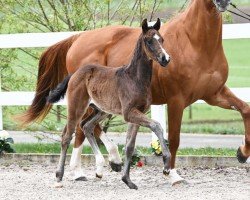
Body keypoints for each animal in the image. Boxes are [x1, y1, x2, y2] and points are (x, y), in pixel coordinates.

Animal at [47, 18, 171, 189]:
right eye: (149, 41)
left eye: (162, 39)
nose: (165, 59)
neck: (134, 78)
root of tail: (75, 73)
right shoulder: (129, 113)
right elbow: (157, 125)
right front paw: (166, 166)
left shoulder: (137, 114)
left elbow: (130, 146)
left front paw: (127, 180)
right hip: (77, 107)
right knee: (67, 135)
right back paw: (59, 176)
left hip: (101, 110)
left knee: (86, 126)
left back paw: (101, 168)